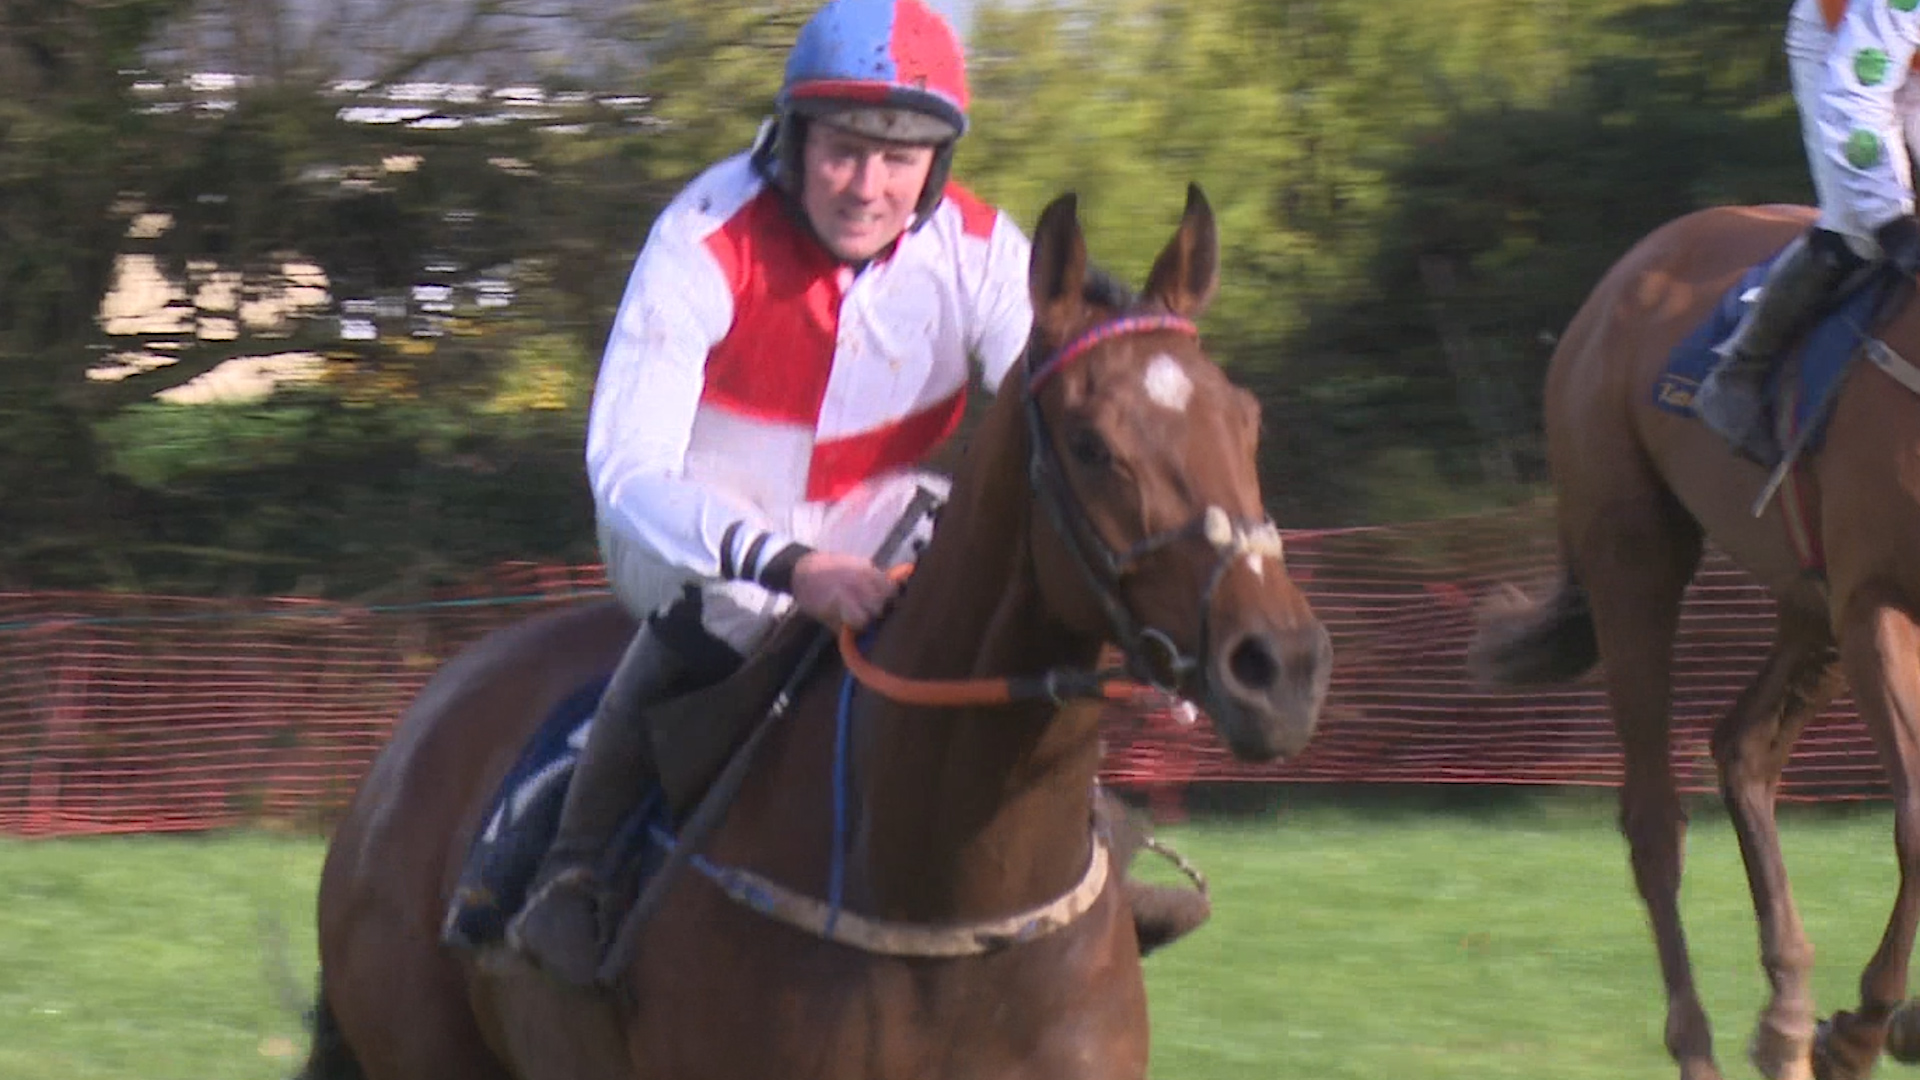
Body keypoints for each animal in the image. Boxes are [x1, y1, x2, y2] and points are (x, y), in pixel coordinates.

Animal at [1468, 202, 1920, 1080]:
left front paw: (1868, 1025)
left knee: (1741, 748)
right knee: (1653, 822)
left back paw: (1786, 1018)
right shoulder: (1875, 602)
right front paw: (1862, 1033)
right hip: (1634, 556)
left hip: (1805, 602)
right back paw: (1713, 1044)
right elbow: (1918, 820)